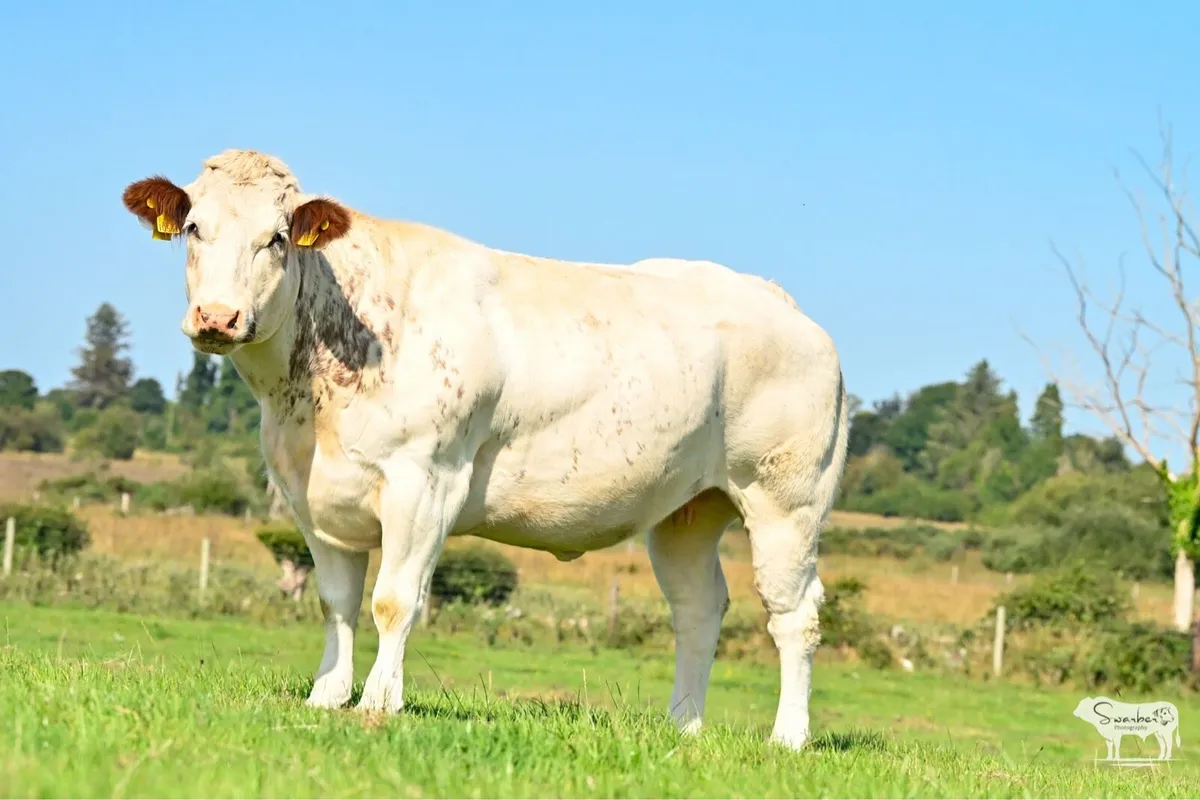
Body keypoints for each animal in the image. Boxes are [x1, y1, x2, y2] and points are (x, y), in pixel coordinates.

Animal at [120, 149, 849, 750]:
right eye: (194, 228)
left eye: (275, 237)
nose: (217, 318)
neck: (307, 405)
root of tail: (778, 300)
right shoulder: (310, 495)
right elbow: (336, 601)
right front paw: (327, 695)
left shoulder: (425, 480)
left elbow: (394, 600)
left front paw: (379, 703)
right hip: (687, 510)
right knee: (699, 608)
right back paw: (683, 727)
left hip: (786, 498)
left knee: (794, 616)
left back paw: (788, 737)